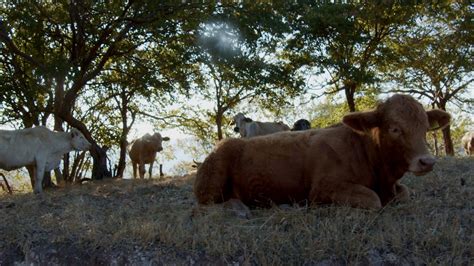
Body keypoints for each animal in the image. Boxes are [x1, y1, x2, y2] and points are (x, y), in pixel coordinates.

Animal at [194, 94, 450, 211]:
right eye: (395, 128)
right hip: (211, 183)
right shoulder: (322, 188)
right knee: (208, 204)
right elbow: (373, 199)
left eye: (425, 127)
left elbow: (405, 193)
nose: (427, 161)